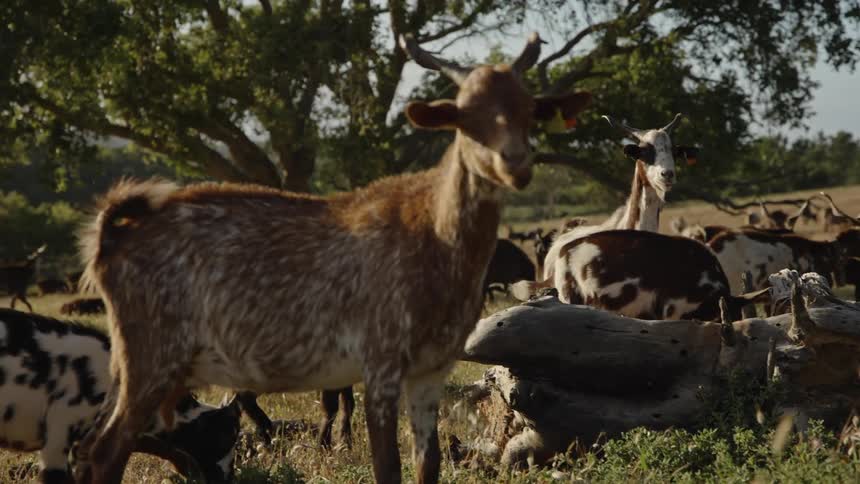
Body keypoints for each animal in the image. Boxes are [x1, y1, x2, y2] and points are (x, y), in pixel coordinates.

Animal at [73, 33, 592, 484]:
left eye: (529, 109)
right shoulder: (380, 359)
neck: (436, 243)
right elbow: (387, 468)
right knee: (106, 449)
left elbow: (428, 466)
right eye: (464, 115)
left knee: (90, 446)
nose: (516, 162)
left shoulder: (431, 369)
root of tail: (111, 237)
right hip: (151, 354)